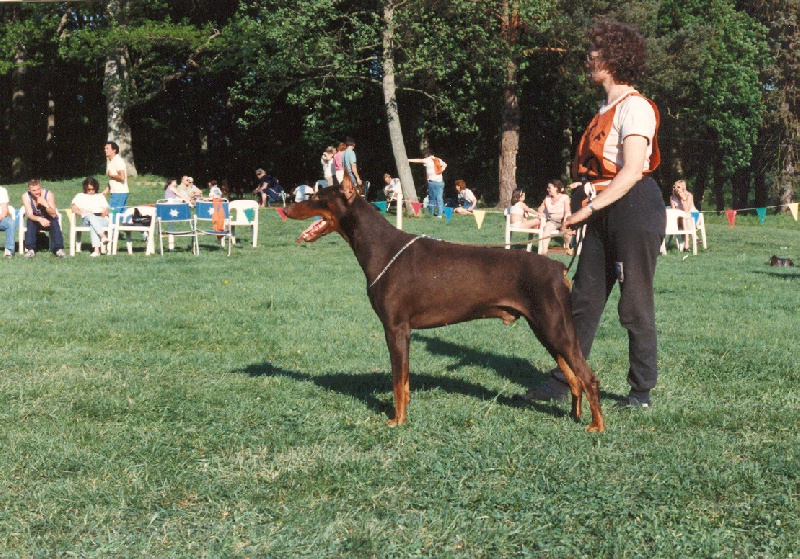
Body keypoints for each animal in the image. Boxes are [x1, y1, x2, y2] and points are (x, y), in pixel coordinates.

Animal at [288, 177, 608, 430]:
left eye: (317, 197)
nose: (287, 207)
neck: (380, 247)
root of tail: (559, 268)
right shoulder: (403, 332)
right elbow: (405, 382)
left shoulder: (396, 328)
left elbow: (397, 381)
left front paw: (397, 421)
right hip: (544, 330)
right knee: (574, 379)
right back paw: (575, 416)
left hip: (556, 328)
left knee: (589, 377)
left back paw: (597, 426)